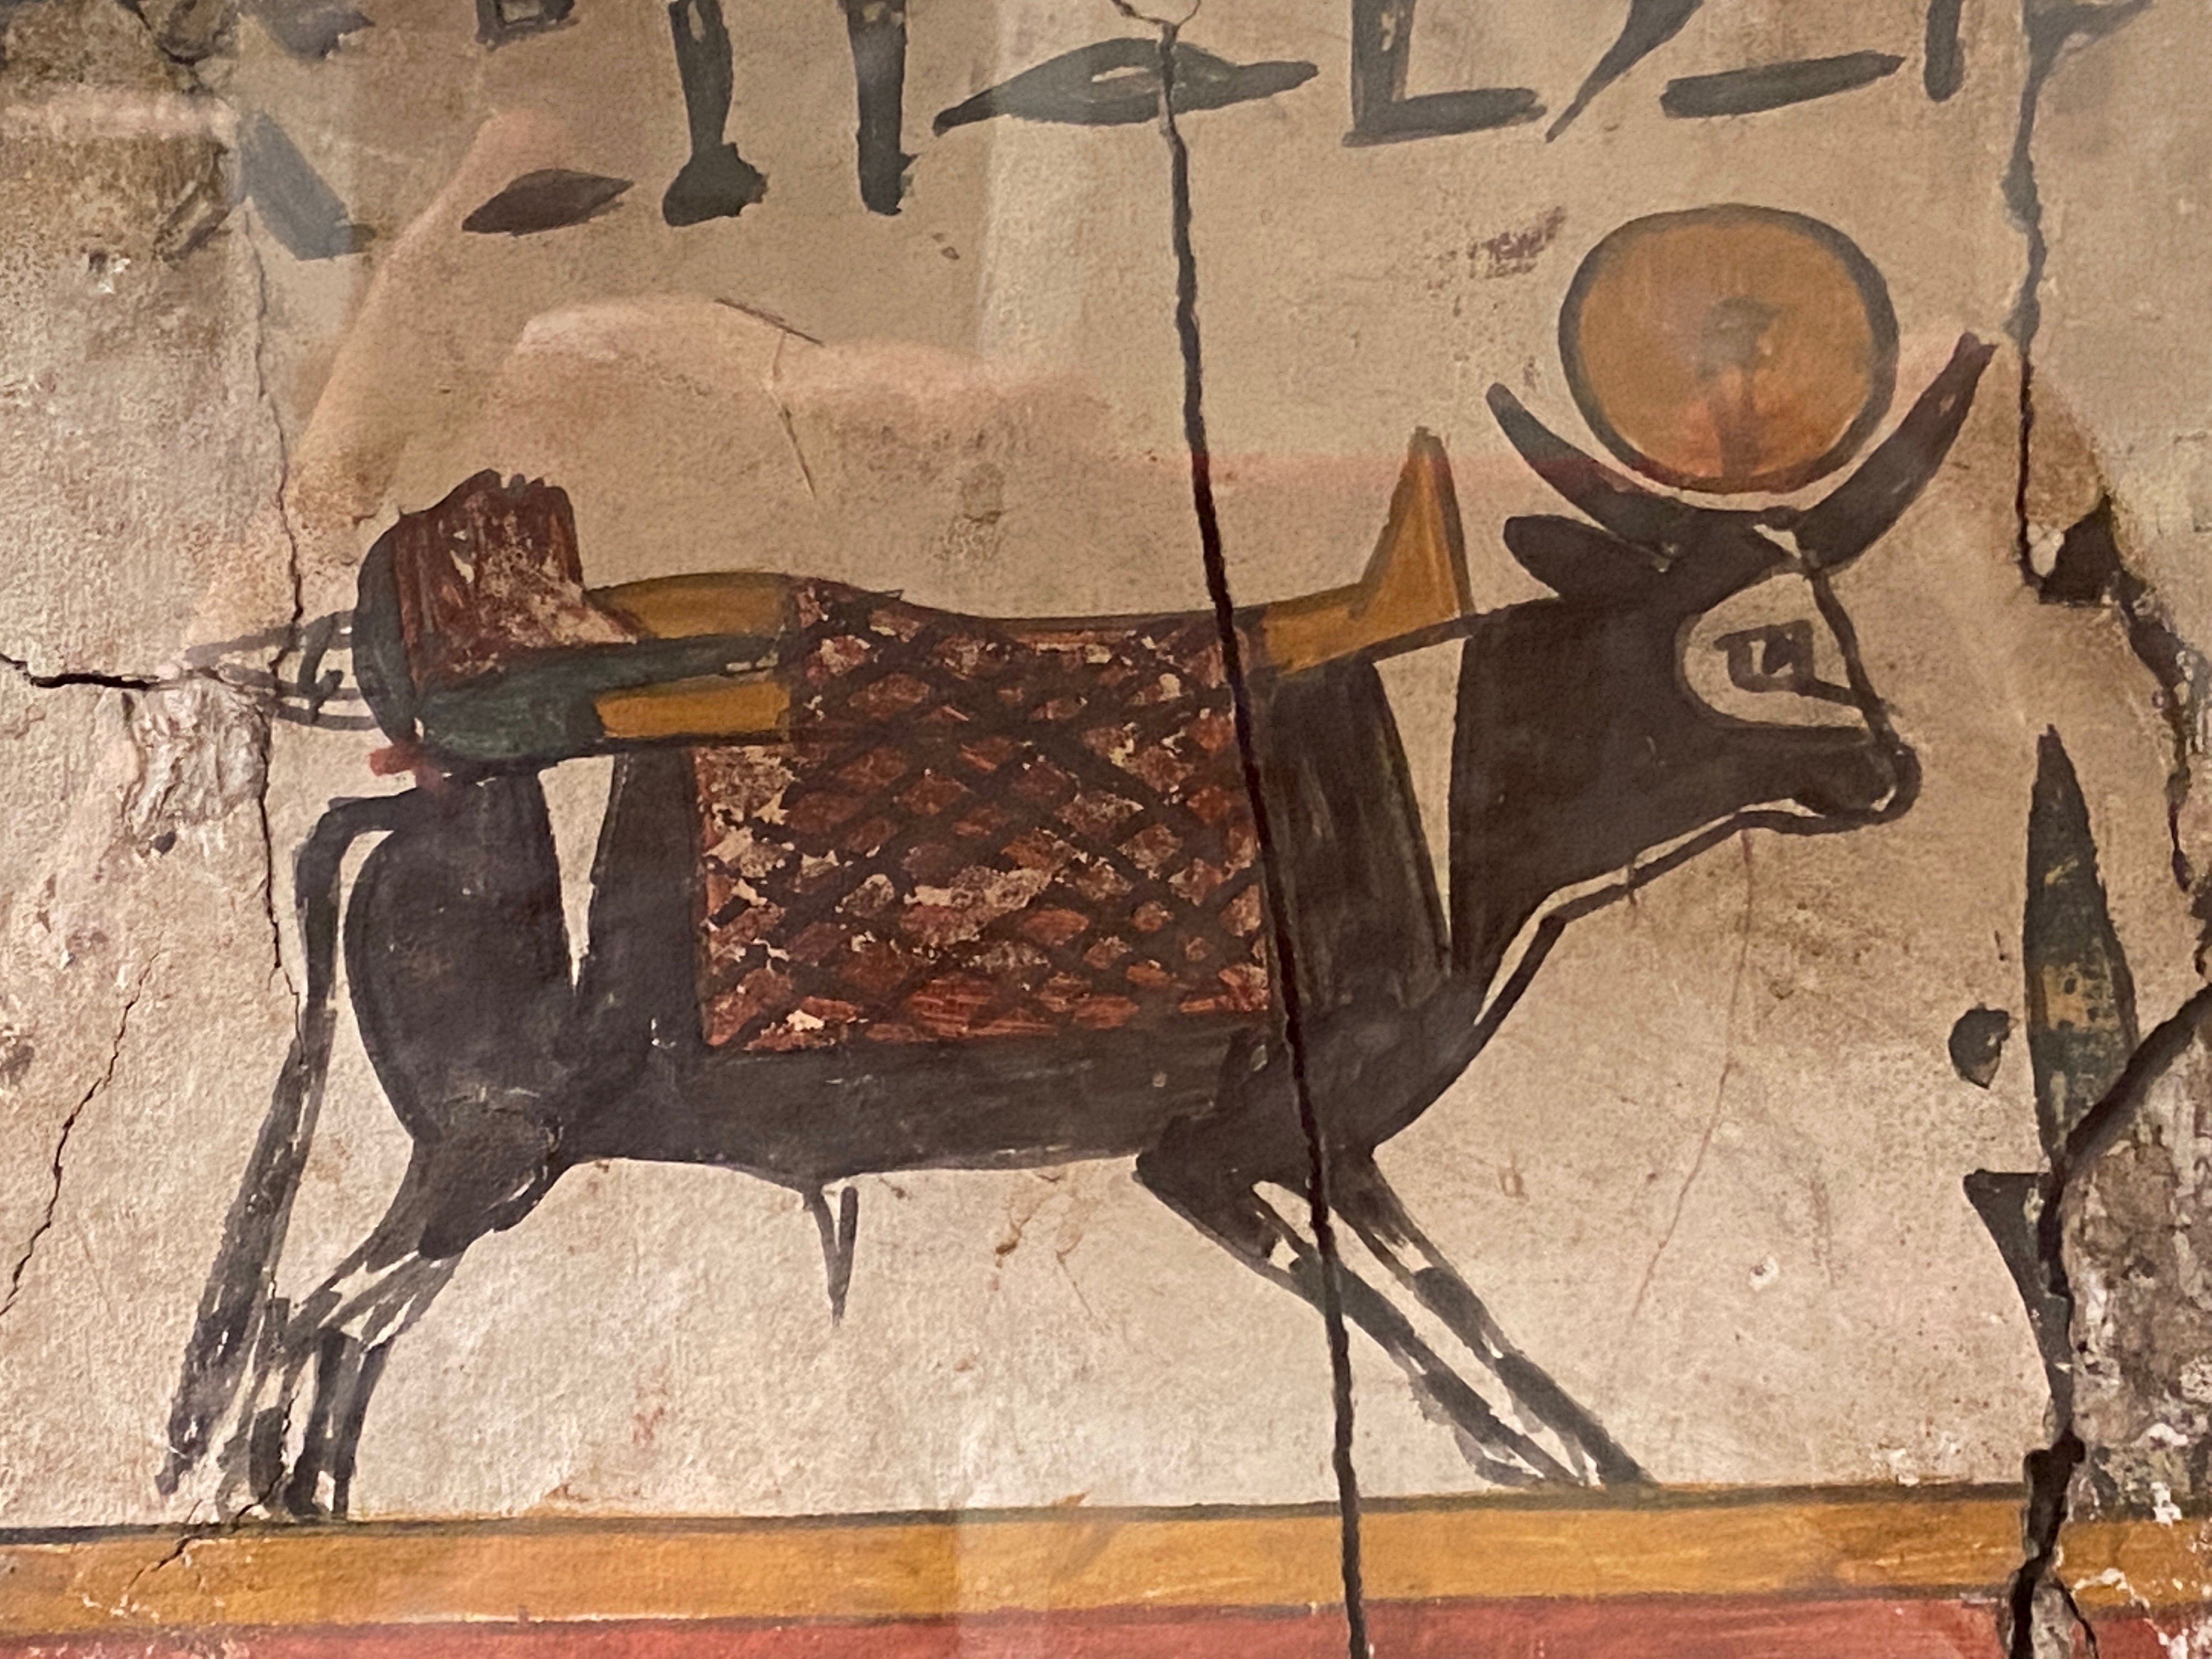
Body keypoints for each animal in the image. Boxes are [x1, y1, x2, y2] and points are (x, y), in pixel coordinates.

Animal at [159, 334, 1991, 1520]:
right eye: (1764, 646)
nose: (1897, 773)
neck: (1453, 820)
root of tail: (422, 792)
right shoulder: (1209, 1156)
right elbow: (1399, 1326)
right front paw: (1527, 1466)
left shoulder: (1331, 1148)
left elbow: (1459, 1314)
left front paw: (1594, 1471)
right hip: (496, 1147)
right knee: (306, 1340)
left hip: (496, 1163)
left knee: (332, 1353)